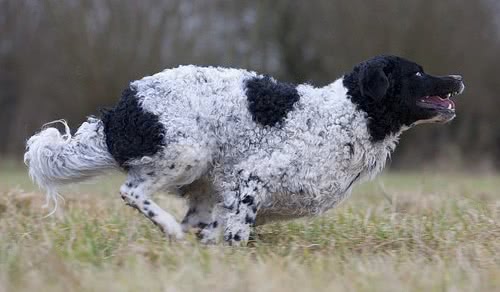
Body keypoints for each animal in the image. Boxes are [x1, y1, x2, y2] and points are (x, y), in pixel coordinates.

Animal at [25, 54, 464, 244]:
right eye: (418, 73)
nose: (458, 78)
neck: (346, 114)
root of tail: (123, 107)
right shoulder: (249, 179)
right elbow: (237, 235)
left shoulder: (226, 198)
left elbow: (217, 234)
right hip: (188, 156)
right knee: (131, 191)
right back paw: (166, 225)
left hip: (202, 184)